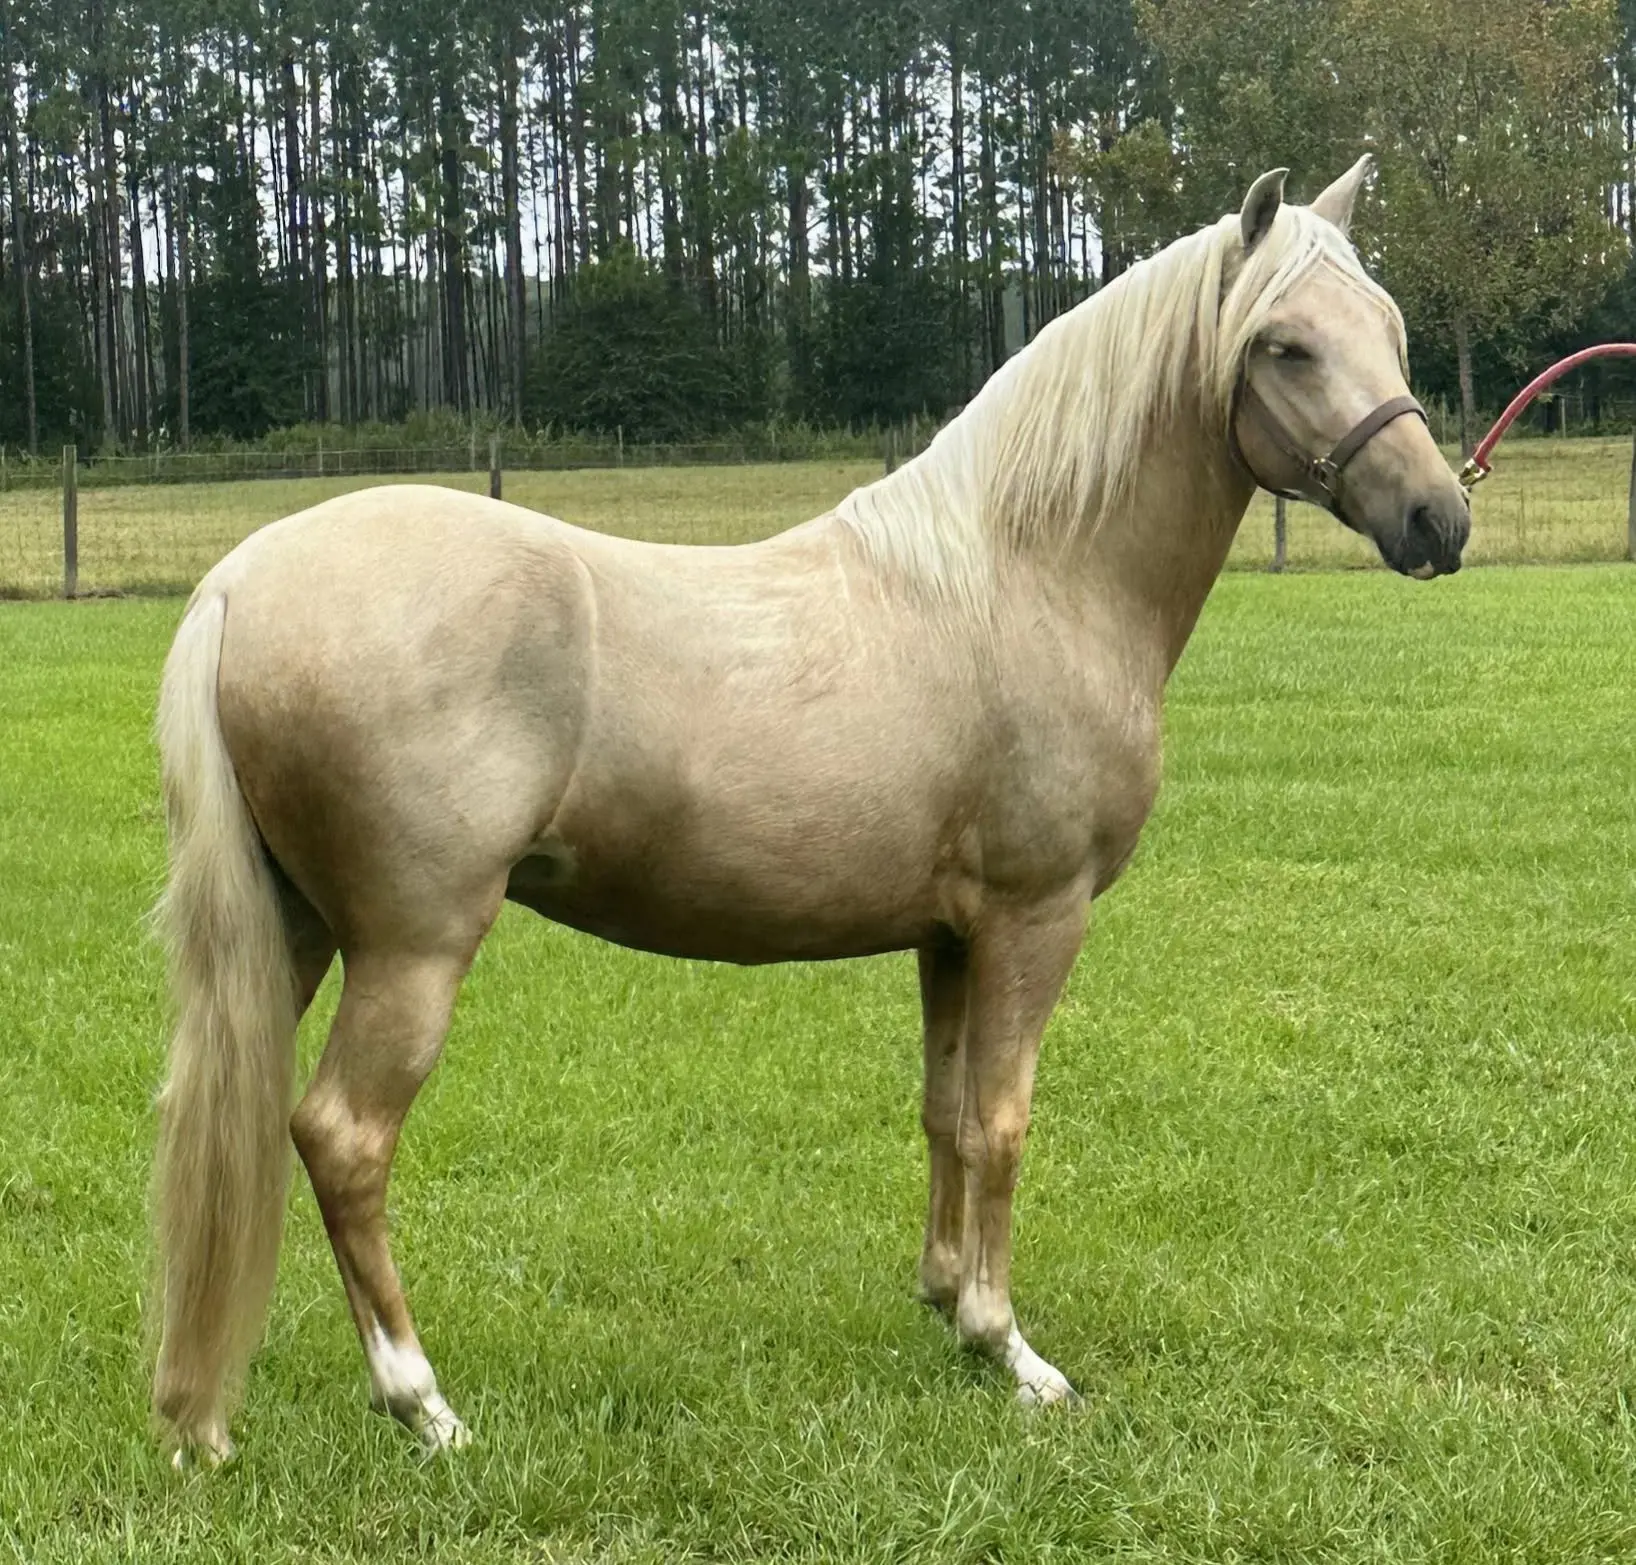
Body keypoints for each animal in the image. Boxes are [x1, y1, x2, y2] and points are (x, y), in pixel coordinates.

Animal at [149, 157, 1469, 1466]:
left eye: (1389, 326)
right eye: (1286, 345)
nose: (1437, 520)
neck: (1027, 577)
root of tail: (241, 578)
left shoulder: (951, 936)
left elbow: (944, 1110)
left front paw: (946, 1301)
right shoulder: (1035, 918)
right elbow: (1001, 1119)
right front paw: (1012, 1349)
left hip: (296, 931)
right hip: (411, 948)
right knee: (341, 1138)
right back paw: (422, 1402)